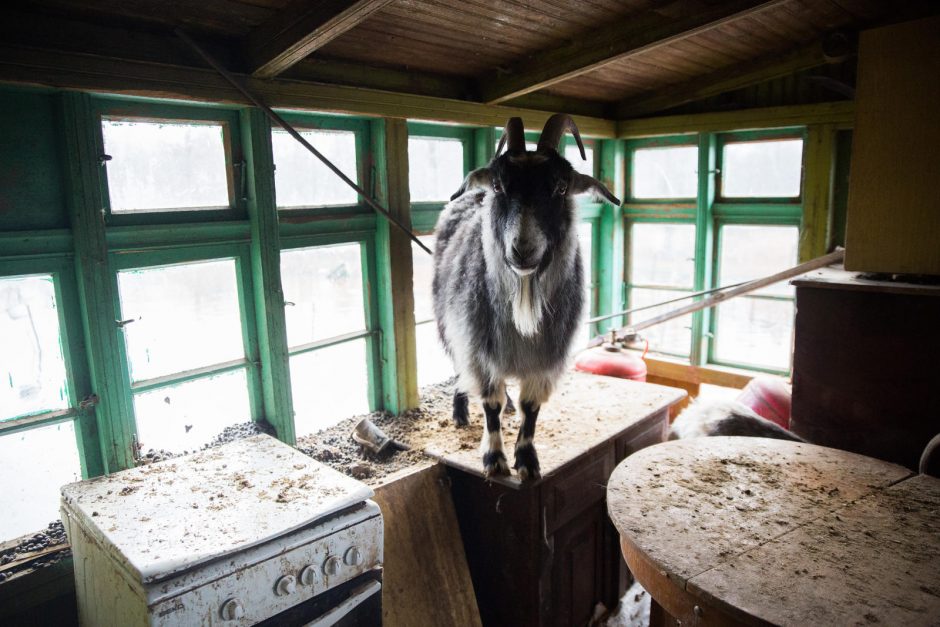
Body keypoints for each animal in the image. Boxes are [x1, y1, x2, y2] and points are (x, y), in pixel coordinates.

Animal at [430, 114, 620, 480]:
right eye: (499, 186)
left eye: (561, 187)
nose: (522, 250)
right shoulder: (479, 350)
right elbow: (489, 403)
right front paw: (494, 459)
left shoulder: (546, 358)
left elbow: (530, 408)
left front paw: (527, 460)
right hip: (449, 326)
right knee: (458, 369)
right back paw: (460, 412)